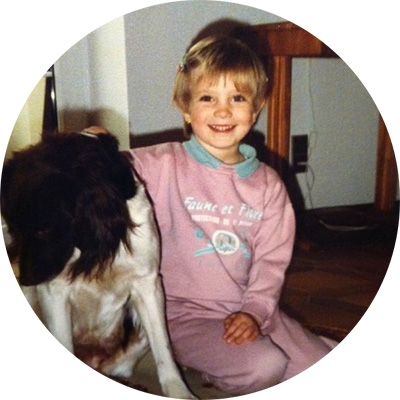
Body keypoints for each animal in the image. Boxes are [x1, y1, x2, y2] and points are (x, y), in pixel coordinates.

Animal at [1, 133, 195, 398]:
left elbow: (164, 351)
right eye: (14, 227)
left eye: (44, 228)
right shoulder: (54, 291)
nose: (26, 279)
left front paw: (179, 391)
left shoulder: (148, 284)